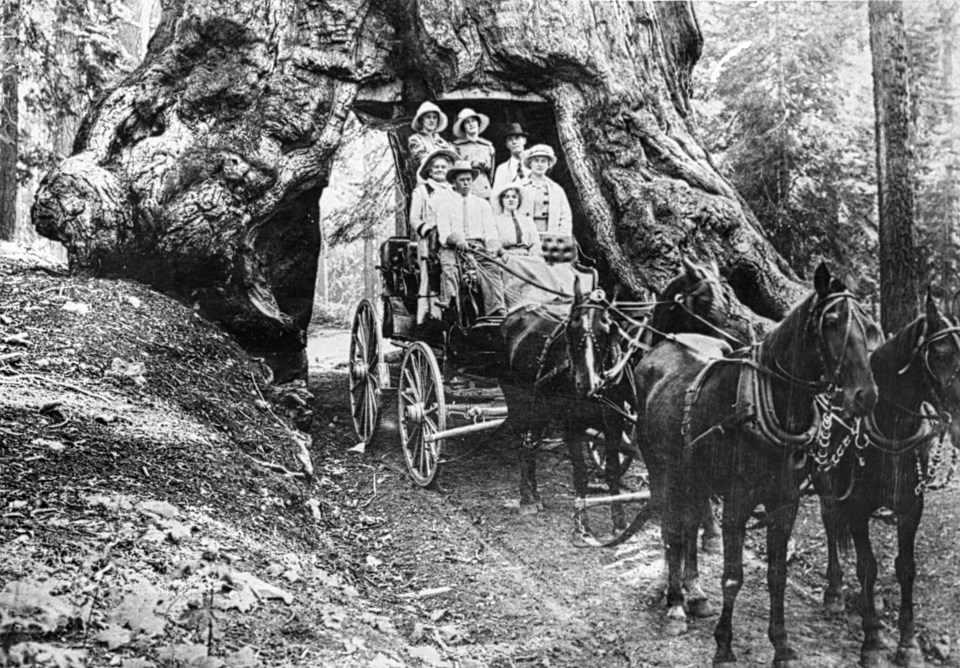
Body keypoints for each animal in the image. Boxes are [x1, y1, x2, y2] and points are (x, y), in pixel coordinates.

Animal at [498, 256, 732, 544]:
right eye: (701, 300)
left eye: (725, 299)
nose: (722, 354)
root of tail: (516, 315)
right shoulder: (575, 425)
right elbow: (581, 473)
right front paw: (581, 527)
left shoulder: (616, 422)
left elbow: (612, 470)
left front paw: (620, 522)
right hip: (519, 405)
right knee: (523, 444)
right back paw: (527, 499)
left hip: (540, 407)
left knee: (531, 443)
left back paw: (534, 494)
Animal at [636, 262, 876, 668]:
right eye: (831, 321)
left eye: (868, 325)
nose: (867, 395)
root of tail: (666, 344)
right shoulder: (737, 504)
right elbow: (733, 577)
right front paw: (723, 647)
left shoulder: (784, 503)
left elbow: (777, 576)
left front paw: (781, 645)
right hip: (661, 472)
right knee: (672, 532)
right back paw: (675, 604)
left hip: (693, 476)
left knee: (689, 527)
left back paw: (693, 592)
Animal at [812, 292, 960, 668]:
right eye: (941, 354)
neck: (891, 427)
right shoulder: (856, 509)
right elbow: (867, 568)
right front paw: (874, 640)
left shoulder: (910, 508)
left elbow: (906, 568)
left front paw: (907, 643)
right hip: (823, 481)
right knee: (830, 521)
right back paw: (834, 592)